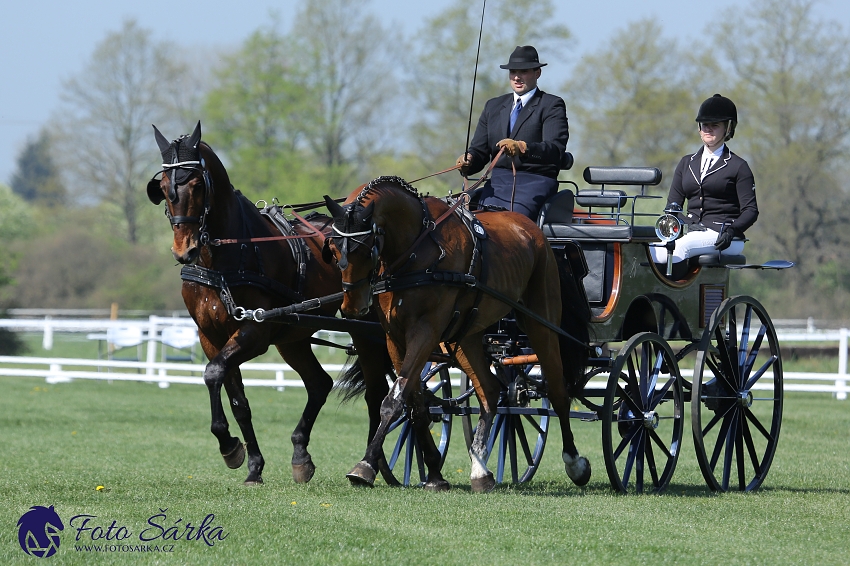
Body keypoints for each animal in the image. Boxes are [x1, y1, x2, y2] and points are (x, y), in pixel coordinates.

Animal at [147, 122, 392, 486]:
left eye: (196, 184)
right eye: (163, 187)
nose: (183, 250)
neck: (224, 258)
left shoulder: (254, 333)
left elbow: (213, 372)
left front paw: (228, 445)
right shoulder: (210, 336)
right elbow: (235, 397)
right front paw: (250, 463)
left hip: (366, 330)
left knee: (380, 392)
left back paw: (372, 464)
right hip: (294, 338)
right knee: (320, 384)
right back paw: (302, 455)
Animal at [324, 176, 588, 492]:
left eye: (366, 248)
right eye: (333, 249)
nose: (352, 306)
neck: (417, 247)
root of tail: (534, 232)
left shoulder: (426, 330)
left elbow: (394, 400)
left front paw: (365, 466)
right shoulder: (394, 337)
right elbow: (413, 400)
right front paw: (434, 472)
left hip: (542, 323)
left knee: (558, 391)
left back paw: (574, 463)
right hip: (466, 336)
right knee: (490, 390)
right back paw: (480, 470)